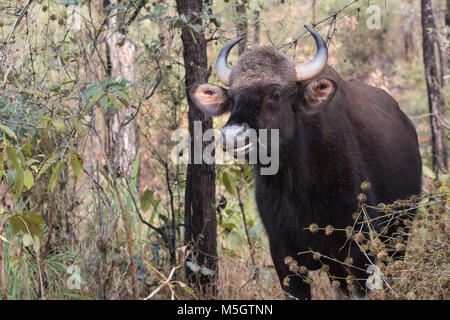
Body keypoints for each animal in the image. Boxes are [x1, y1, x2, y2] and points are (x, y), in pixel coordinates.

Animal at [188, 25, 420, 300]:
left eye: (275, 94)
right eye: (232, 98)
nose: (233, 136)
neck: (298, 187)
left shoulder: (356, 252)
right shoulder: (283, 257)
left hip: (398, 236)